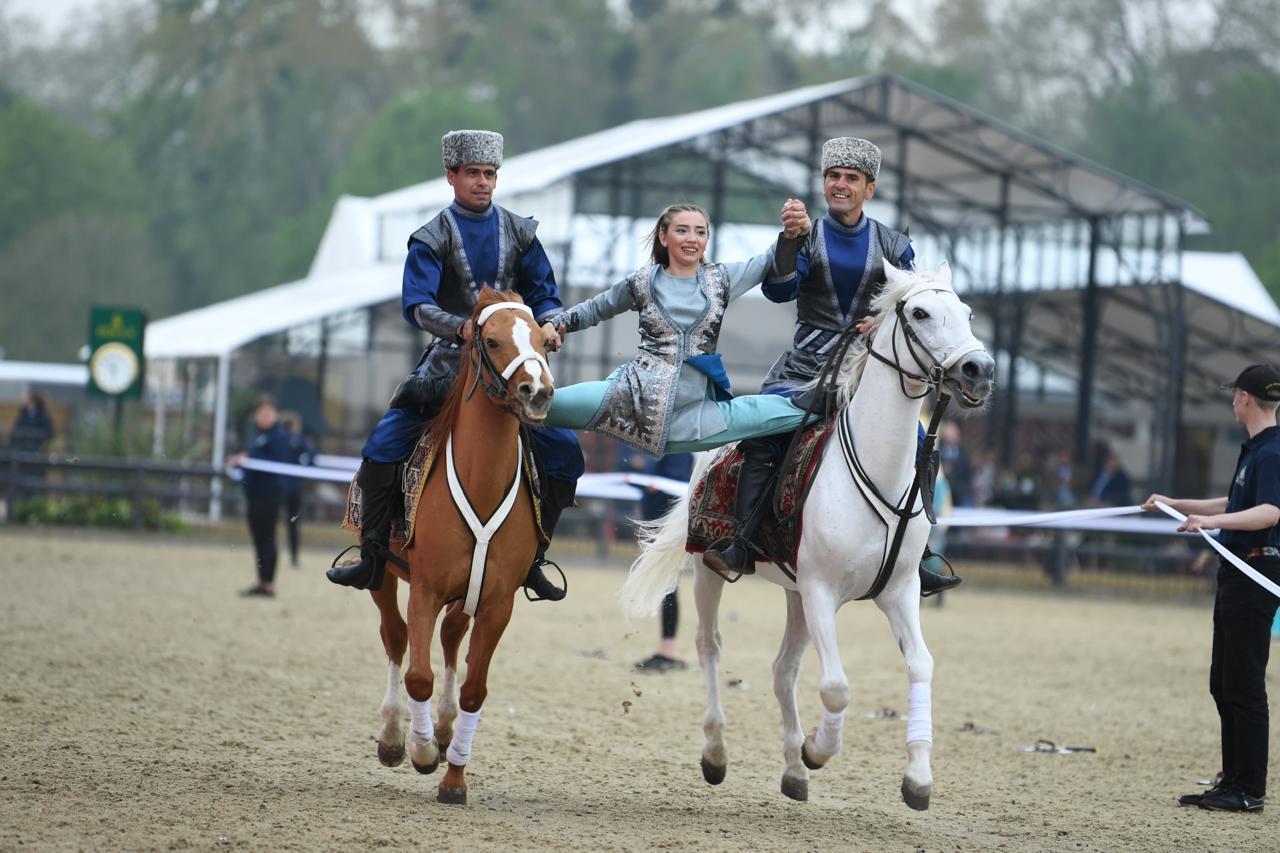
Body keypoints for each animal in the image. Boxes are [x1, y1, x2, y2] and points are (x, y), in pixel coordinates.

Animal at [366, 286, 555, 804]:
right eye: (491, 341)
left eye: (542, 339)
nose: (537, 390)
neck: (480, 478)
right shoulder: (425, 590)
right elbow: (418, 674)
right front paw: (422, 750)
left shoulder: (496, 603)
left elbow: (474, 688)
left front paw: (454, 776)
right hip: (383, 576)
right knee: (395, 637)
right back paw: (394, 737)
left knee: (451, 637)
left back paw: (446, 728)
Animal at [614, 262, 993, 809]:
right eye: (921, 312)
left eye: (965, 311)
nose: (979, 369)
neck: (878, 469)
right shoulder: (821, 591)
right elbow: (836, 686)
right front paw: (818, 749)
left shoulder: (899, 592)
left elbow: (921, 665)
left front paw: (918, 778)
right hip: (710, 571)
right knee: (710, 647)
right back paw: (718, 753)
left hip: (794, 595)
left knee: (783, 670)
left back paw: (793, 771)